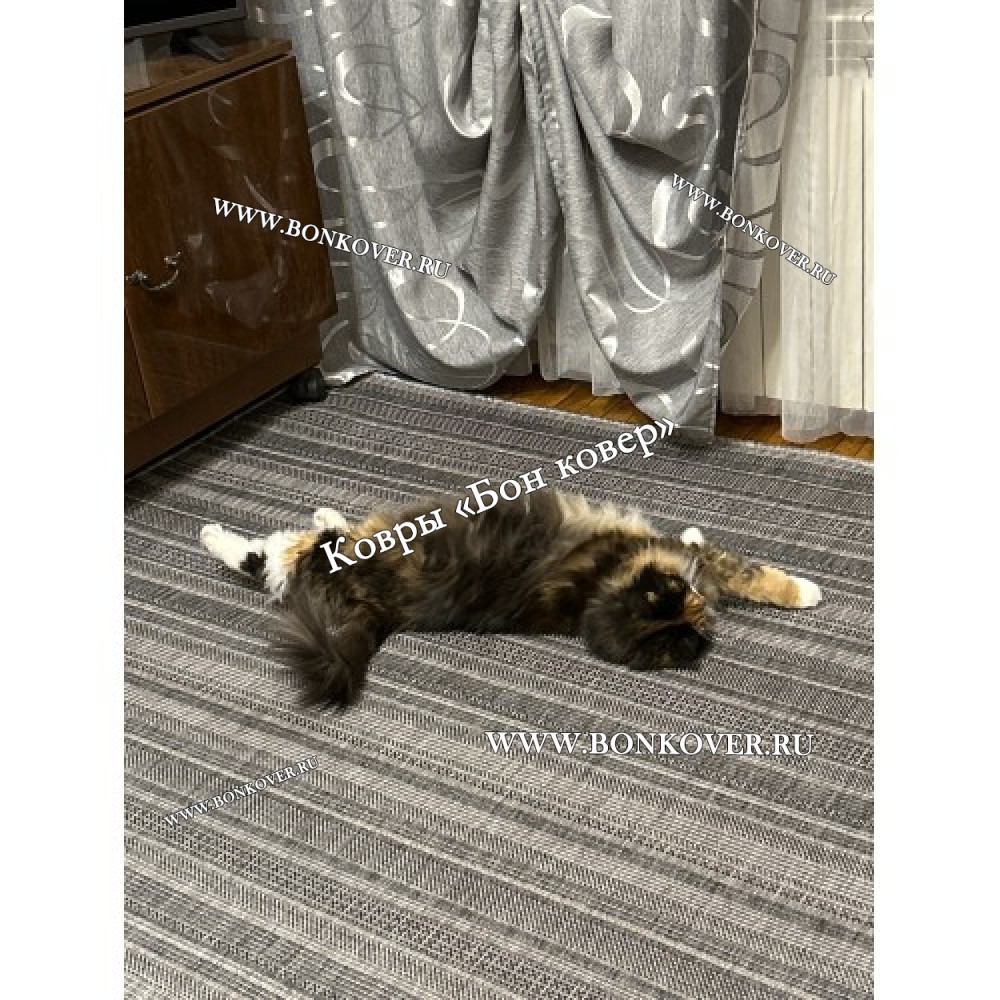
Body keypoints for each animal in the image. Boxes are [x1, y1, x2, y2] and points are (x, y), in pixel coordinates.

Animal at [200, 489, 822, 709]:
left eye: (689, 619)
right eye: (680, 599)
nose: (703, 615)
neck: (593, 595)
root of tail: (383, 608)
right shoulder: (682, 558)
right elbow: (749, 572)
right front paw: (807, 591)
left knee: (283, 555)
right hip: (340, 554)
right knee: (276, 554)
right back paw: (213, 533)